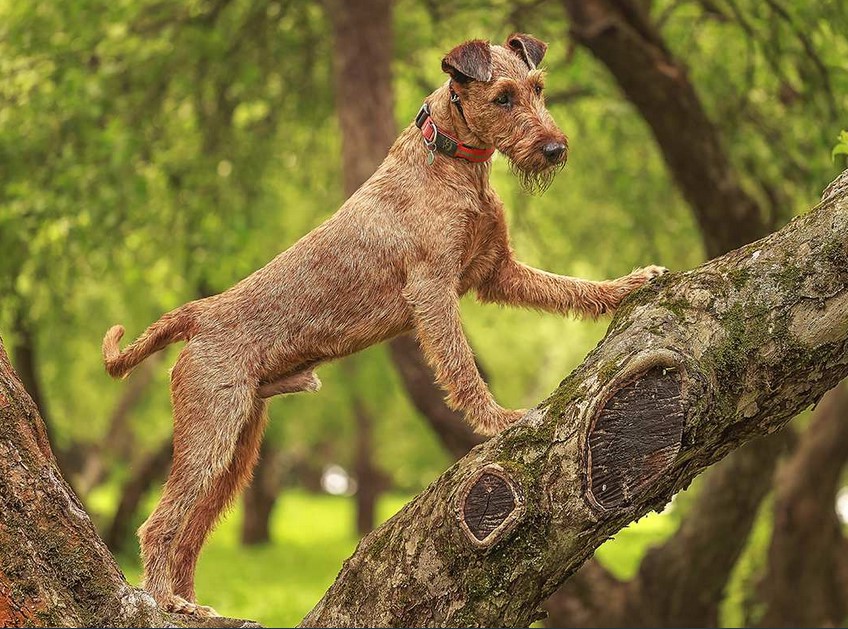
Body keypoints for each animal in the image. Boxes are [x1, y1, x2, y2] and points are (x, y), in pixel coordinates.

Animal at [102, 33, 664, 612]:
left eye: (538, 88)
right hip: (211, 433)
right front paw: (496, 421)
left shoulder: (497, 272)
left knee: (191, 533)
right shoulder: (434, 289)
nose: (555, 148)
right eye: (503, 97)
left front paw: (628, 286)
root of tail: (199, 312)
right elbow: (461, 367)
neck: (449, 160)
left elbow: (569, 287)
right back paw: (164, 601)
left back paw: (191, 603)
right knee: (159, 525)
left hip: (238, 447)